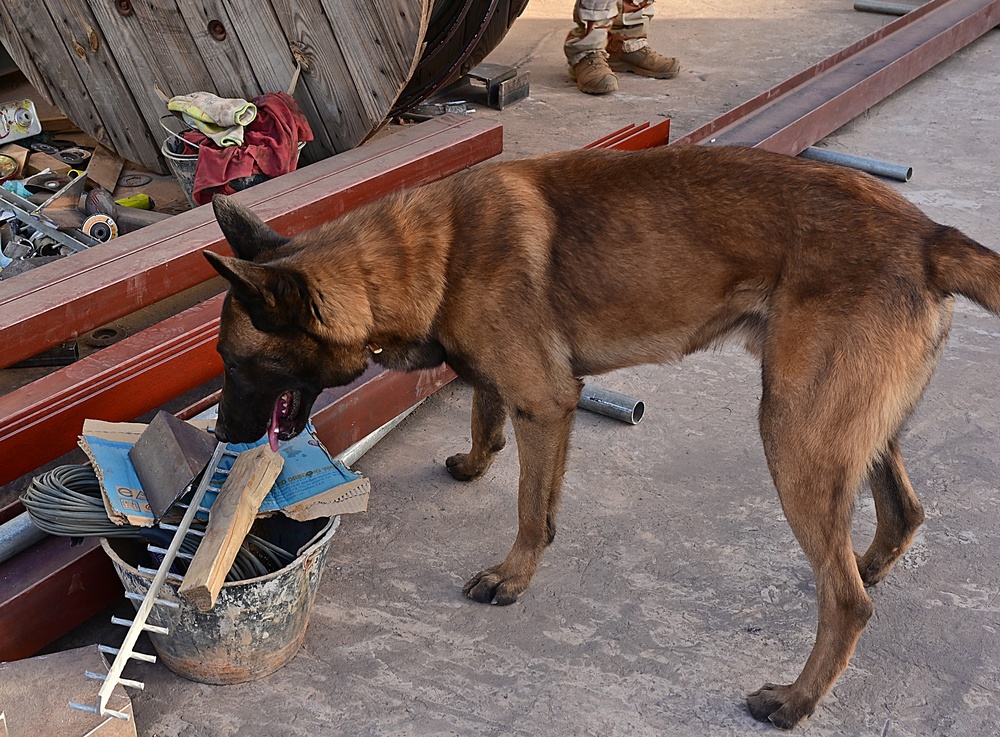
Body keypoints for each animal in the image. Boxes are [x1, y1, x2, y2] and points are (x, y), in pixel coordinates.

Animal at [203, 144, 1000, 724]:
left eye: (236, 366)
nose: (221, 437)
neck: (428, 254)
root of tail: (929, 236)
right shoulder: (521, 389)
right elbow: (486, 411)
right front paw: (476, 459)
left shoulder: (546, 402)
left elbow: (529, 506)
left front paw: (514, 575)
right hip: (850, 434)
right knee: (902, 515)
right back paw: (867, 565)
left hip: (794, 434)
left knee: (847, 601)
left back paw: (797, 697)